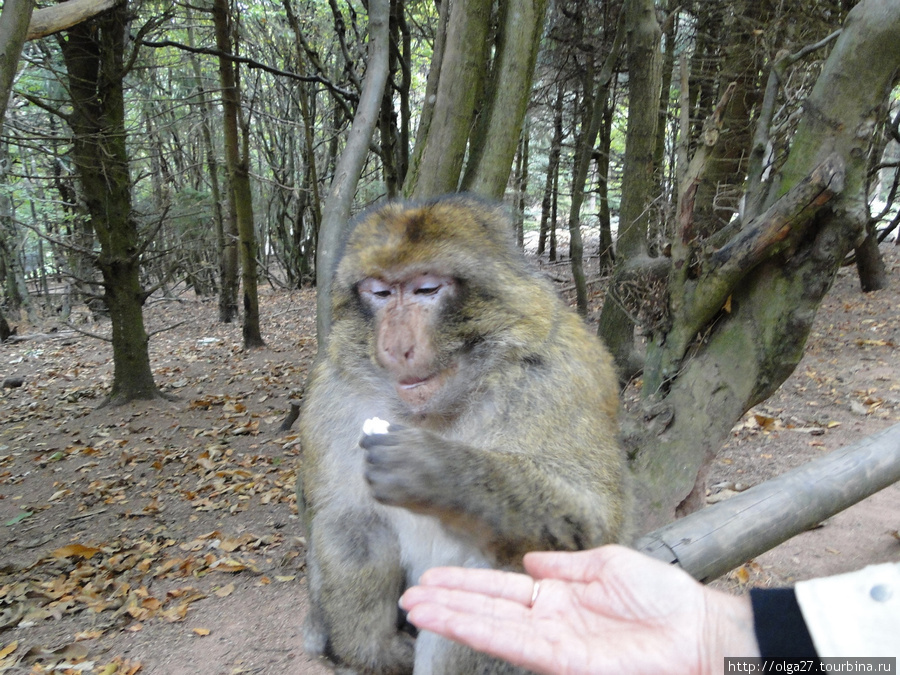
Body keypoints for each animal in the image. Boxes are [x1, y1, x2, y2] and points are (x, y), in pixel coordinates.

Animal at [298, 193, 624, 672]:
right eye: (380, 293)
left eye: (426, 290)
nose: (395, 346)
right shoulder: (334, 394)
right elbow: (350, 519)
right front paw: (372, 649)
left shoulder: (557, 376)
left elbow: (597, 526)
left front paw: (437, 469)